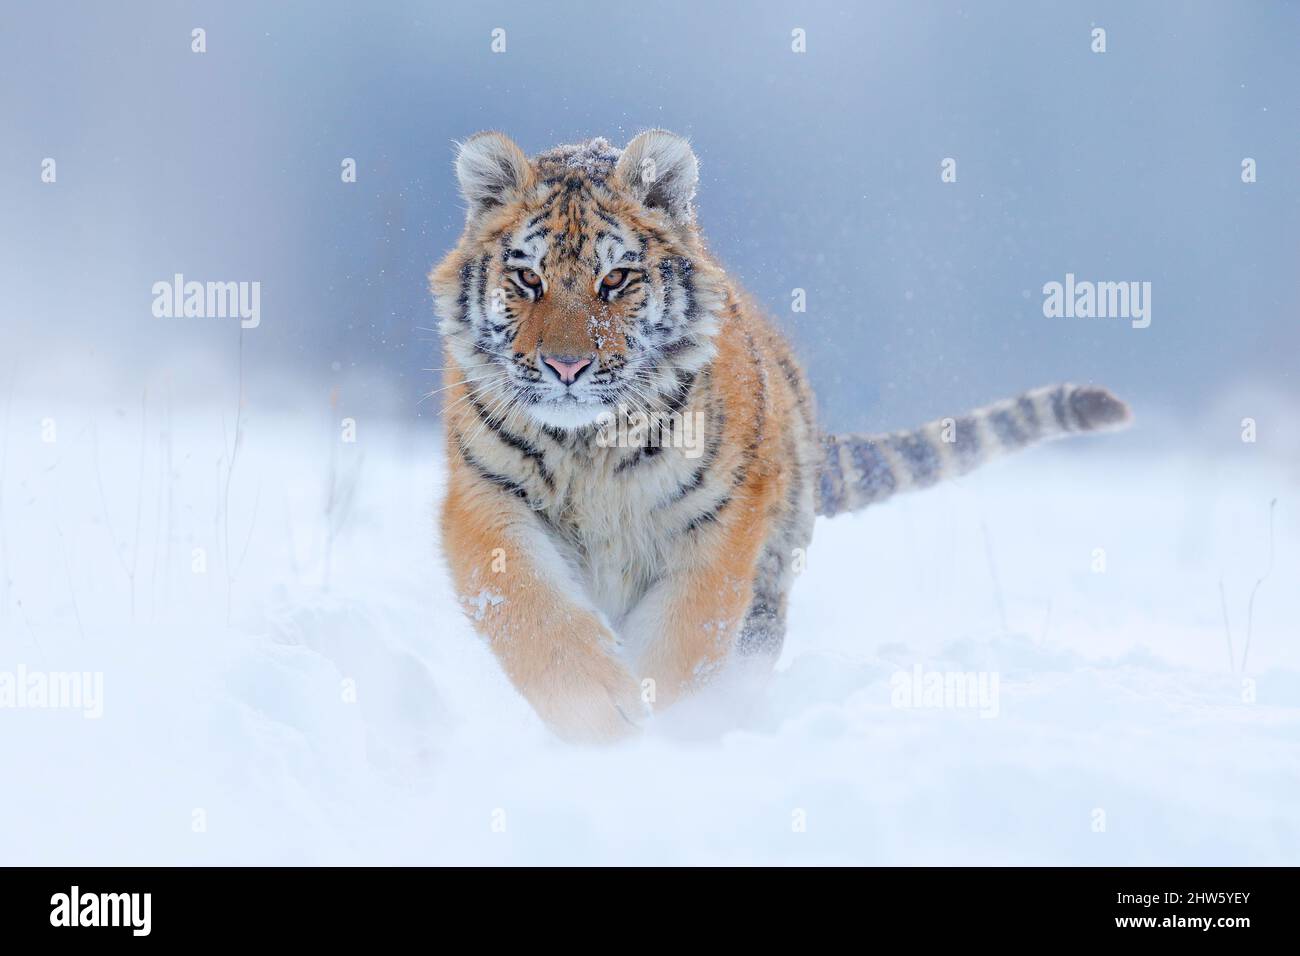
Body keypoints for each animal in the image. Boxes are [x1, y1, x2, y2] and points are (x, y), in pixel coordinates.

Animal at [429, 130, 1131, 743]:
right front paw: (602, 715)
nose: (566, 367)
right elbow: (530, 611)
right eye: (528, 279)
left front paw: (671, 732)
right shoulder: (487, 499)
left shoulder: (720, 519)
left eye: (616, 280)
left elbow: (688, 638)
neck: (588, 447)